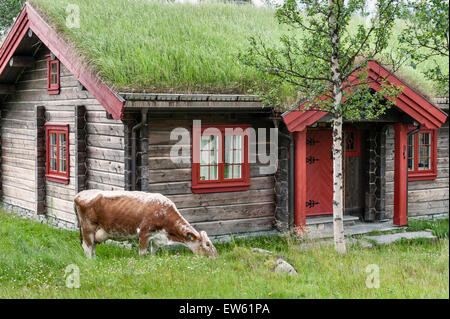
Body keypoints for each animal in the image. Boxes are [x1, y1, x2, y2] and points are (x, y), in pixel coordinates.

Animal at [73, 190, 218, 260]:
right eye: (207, 244)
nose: (216, 257)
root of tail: (80, 194)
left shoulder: (157, 237)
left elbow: (153, 252)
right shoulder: (144, 232)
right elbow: (142, 253)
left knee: (92, 247)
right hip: (88, 228)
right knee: (87, 247)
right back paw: (91, 262)